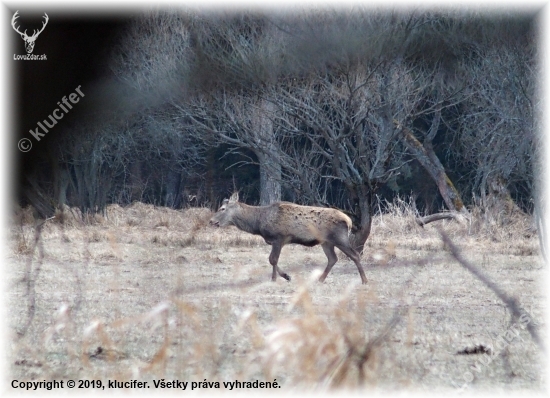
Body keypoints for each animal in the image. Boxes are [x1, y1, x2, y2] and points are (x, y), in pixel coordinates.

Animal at [209, 192, 368, 282]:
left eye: (222, 209)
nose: (211, 221)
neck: (259, 223)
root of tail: (349, 221)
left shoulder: (279, 237)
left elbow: (272, 259)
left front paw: (274, 279)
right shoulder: (277, 241)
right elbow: (272, 260)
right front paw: (287, 276)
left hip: (339, 238)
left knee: (355, 255)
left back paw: (364, 280)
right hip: (326, 242)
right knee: (332, 259)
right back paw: (320, 280)